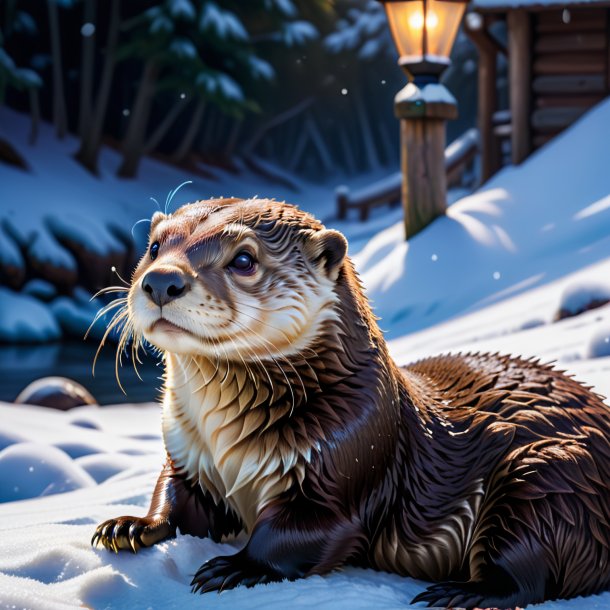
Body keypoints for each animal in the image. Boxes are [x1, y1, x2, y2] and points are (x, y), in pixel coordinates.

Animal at [91, 197, 608, 604]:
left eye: (243, 259)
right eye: (155, 247)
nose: (161, 281)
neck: (224, 445)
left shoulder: (349, 451)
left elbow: (299, 534)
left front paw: (237, 566)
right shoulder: (186, 454)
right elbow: (175, 498)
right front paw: (129, 525)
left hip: (548, 480)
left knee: (528, 570)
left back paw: (461, 592)